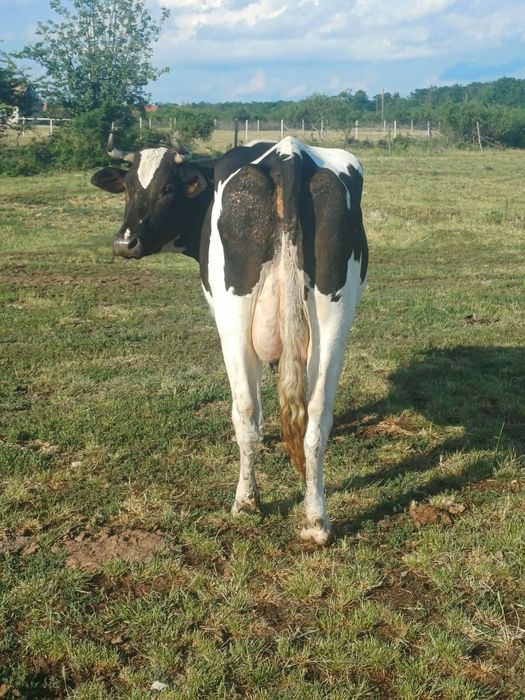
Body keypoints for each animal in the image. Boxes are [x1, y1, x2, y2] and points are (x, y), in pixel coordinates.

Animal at [91, 135, 368, 545]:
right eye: (127, 187)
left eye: (168, 189)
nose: (125, 243)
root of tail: (289, 154)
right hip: (334, 313)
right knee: (317, 419)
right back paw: (316, 521)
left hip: (234, 315)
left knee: (246, 411)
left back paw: (246, 502)